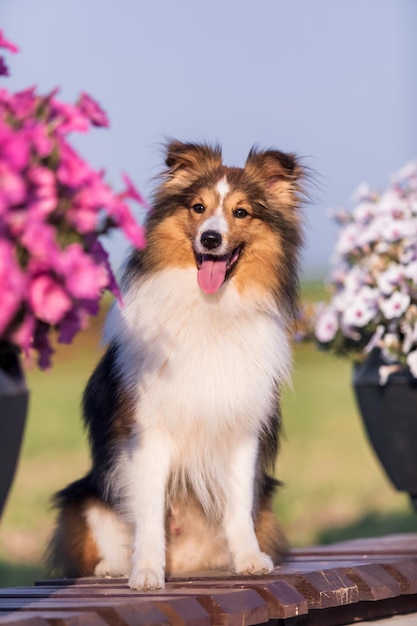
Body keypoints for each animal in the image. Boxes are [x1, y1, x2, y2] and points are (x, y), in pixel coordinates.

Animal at [47, 139, 304, 588]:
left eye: (241, 212)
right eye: (198, 208)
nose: (211, 239)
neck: (209, 309)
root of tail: (185, 563)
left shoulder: (241, 432)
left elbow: (238, 506)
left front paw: (249, 558)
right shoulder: (148, 433)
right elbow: (149, 513)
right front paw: (147, 571)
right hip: (85, 498)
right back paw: (116, 567)